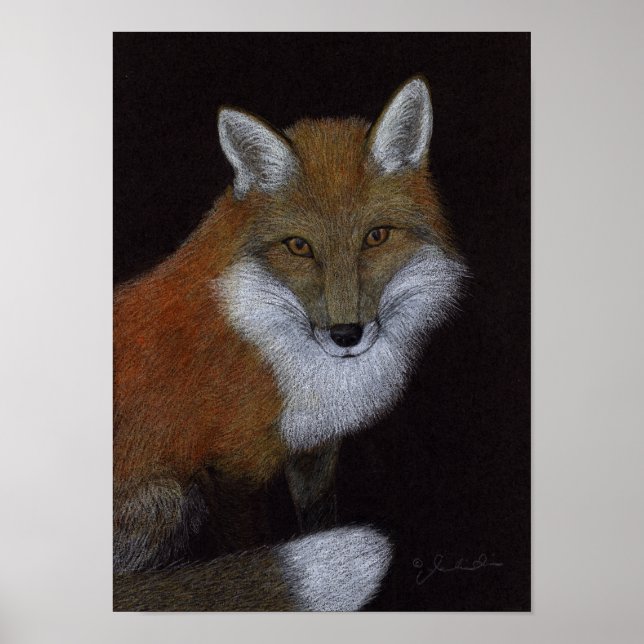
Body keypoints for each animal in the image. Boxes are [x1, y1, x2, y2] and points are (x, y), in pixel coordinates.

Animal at [113, 75, 467, 611]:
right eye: (299, 247)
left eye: (376, 236)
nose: (346, 335)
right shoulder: (230, 469)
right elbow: (247, 545)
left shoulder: (314, 447)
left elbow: (318, 518)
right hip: (173, 496)